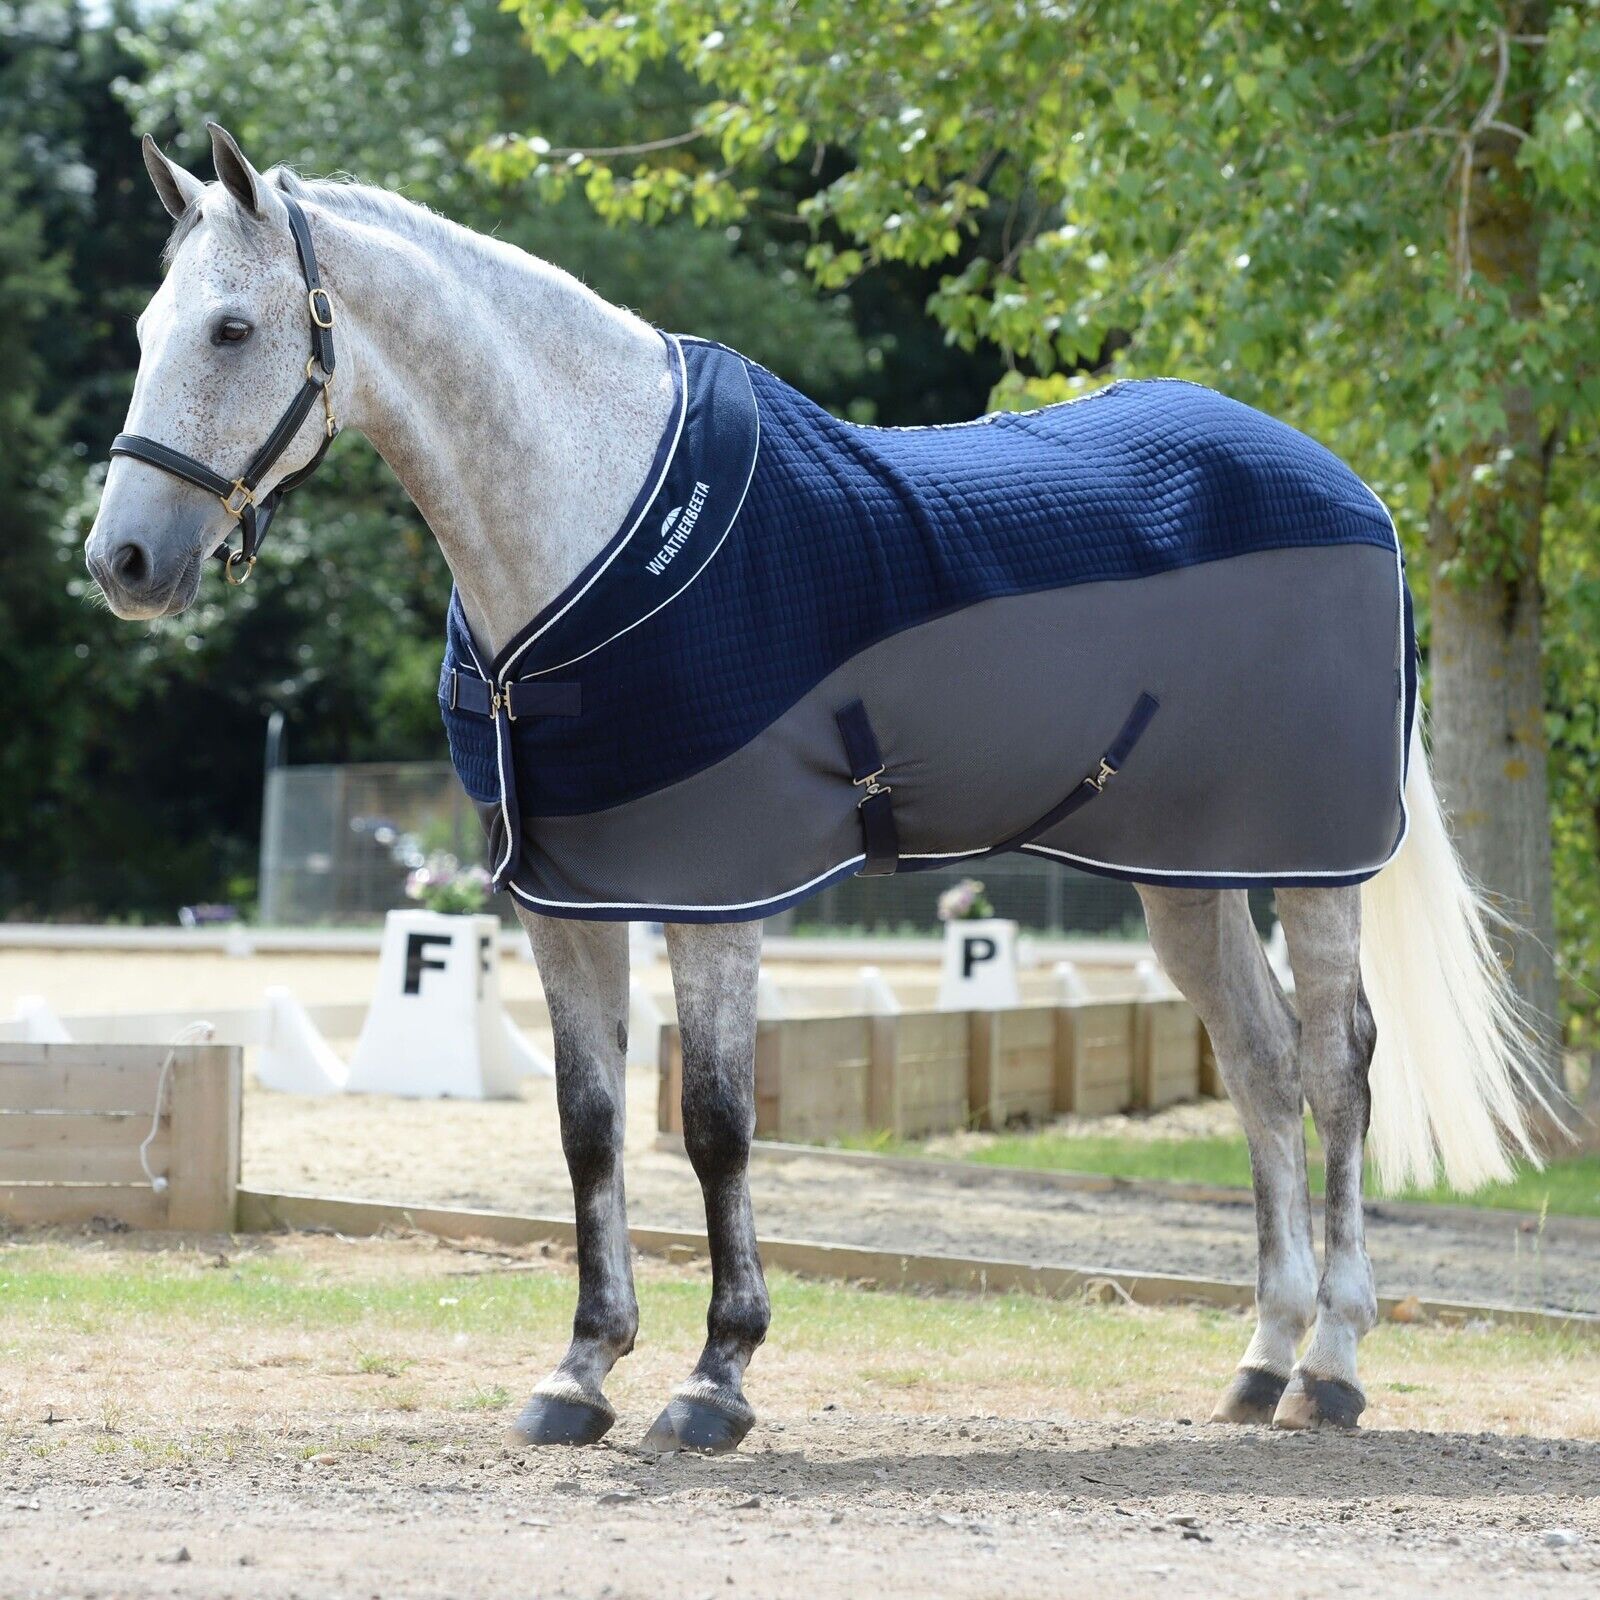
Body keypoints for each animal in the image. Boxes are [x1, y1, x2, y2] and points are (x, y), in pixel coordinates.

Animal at [86, 124, 1543, 1453]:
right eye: (149, 327)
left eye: (231, 328)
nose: (123, 561)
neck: (600, 520)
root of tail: (1352, 490)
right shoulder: (563, 899)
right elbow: (590, 1125)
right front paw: (580, 1372)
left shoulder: (717, 891)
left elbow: (716, 1123)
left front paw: (715, 1378)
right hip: (1185, 874)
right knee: (1256, 1063)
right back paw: (1262, 1355)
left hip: (1314, 862)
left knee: (1334, 1069)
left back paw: (1334, 1364)